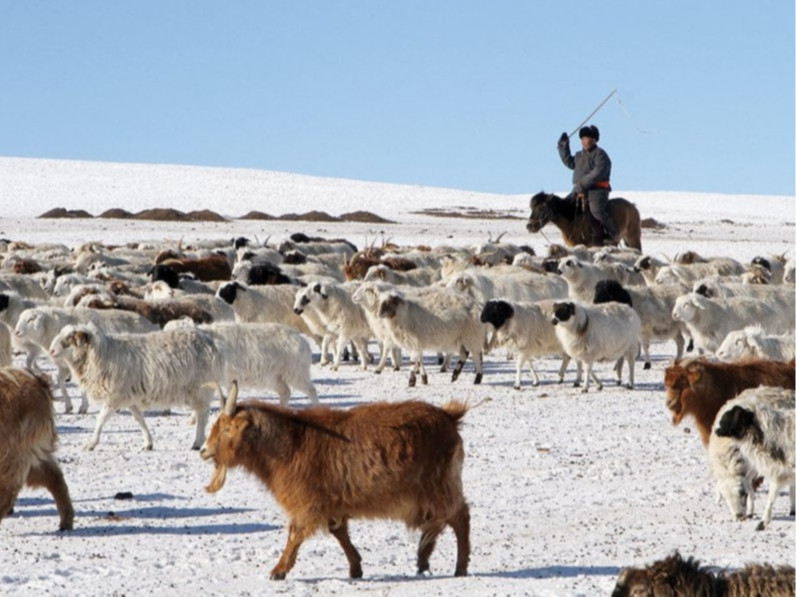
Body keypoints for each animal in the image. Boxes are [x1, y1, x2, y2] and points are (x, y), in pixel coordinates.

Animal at [0, 368, 74, 532]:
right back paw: (66, 520)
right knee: (53, 476)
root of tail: (38, 382)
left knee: (9, 489)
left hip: (15, 451)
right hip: (31, 452)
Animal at [47, 324, 222, 450]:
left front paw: (91, 443)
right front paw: (148, 443)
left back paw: (198, 442)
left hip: (199, 389)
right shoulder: (129, 396)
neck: (101, 354)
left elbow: (101, 419)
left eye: (70, 338)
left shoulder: (115, 396)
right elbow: (139, 419)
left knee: (202, 414)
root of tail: (210, 342)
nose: (51, 351)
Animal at [202, 382, 470, 576]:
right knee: (437, 522)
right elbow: (338, 532)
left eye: (226, 429)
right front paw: (355, 567)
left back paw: (459, 567)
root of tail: (449, 416)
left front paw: (279, 570)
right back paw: (424, 559)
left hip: (440, 485)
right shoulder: (332, 501)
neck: (291, 443)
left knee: (459, 517)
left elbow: (296, 532)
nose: (203, 450)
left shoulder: (308, 501)